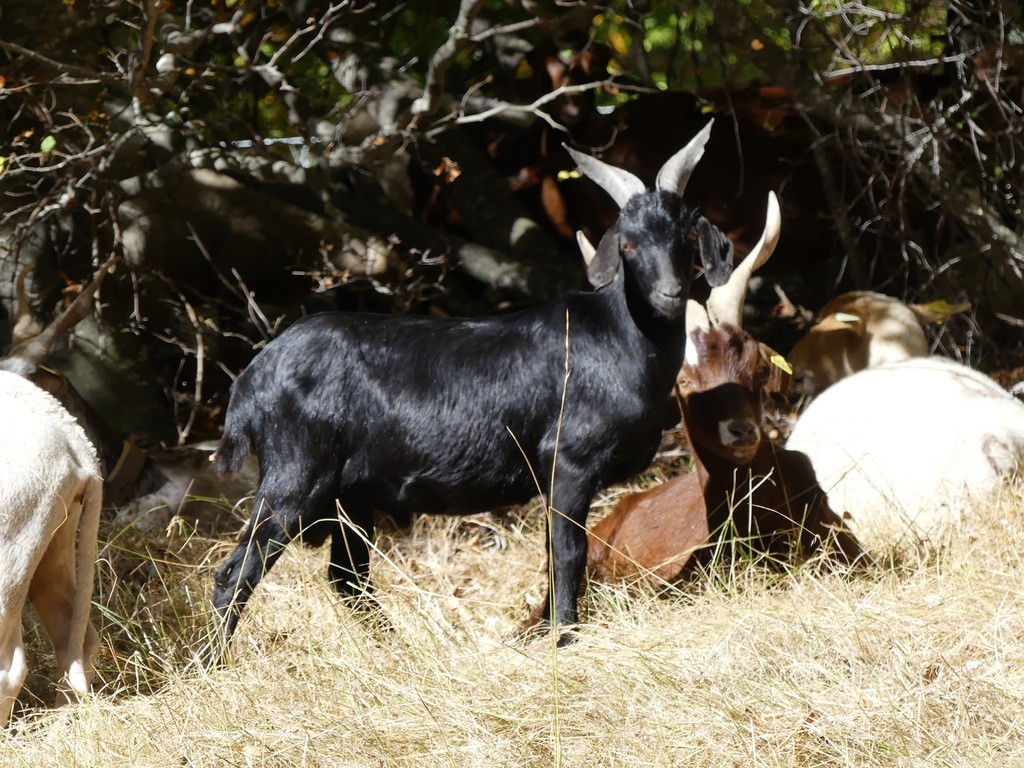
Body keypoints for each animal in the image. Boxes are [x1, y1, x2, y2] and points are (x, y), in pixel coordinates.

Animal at [203, 120, 761, 663]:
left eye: (684, 236)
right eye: (627, 244)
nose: (669, 293)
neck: (619, 337)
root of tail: (251, 379)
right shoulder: (568, 463)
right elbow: (567, 552)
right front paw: (565, 639)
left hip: (348, 493)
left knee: (348, 577)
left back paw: (403, 652)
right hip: (296, 476)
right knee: (237, 572)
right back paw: (211, 668)